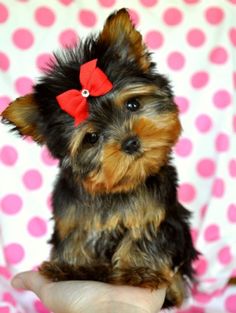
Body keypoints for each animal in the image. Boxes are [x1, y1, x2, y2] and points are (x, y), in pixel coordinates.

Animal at [1, 7, 197, 308]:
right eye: (92, 138)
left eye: (132, 104)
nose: (130, 142)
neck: (114, 186)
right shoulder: (72, 216)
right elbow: (76, 236)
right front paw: (71, 267)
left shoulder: (155, 213)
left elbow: (144, 235)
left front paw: (139, 270)